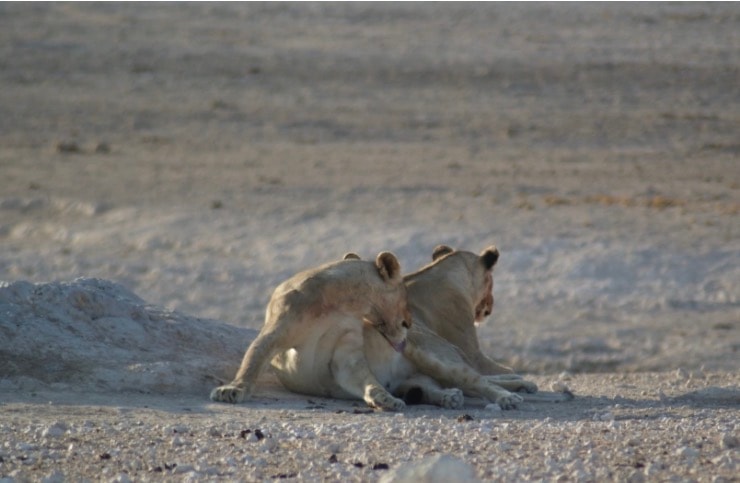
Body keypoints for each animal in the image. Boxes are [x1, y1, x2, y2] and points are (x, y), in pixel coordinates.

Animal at [210, 251, 412, 411]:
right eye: (405, 299)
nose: (409, 323)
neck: (344, 305)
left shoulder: (346, 351)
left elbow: (366, 379)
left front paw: (387, 399)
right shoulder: (277, 328)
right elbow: (253, 359)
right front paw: (233, 389)